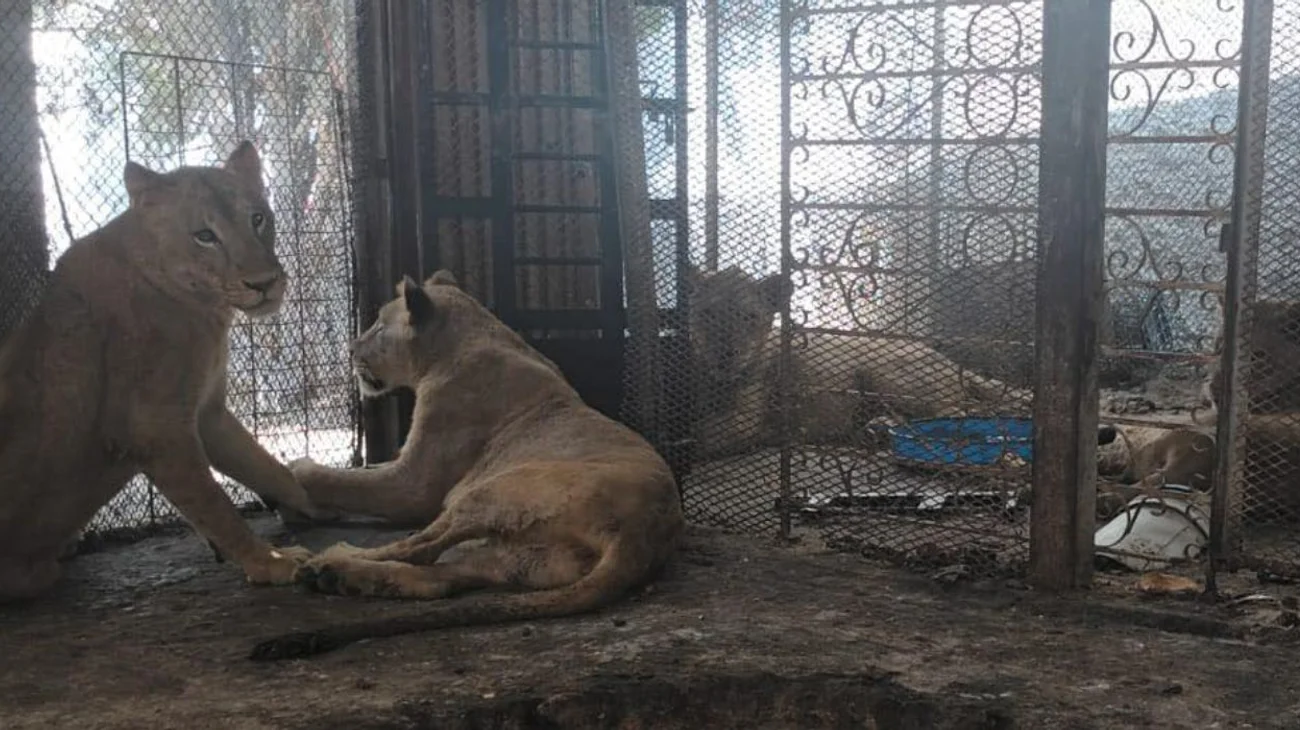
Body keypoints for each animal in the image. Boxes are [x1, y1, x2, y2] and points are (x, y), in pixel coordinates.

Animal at [0, 142, 327, 601]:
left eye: (258, 218)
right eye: (205, 236)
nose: (264, 283)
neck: (208, 308)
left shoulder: (208, 413)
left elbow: (264, 465)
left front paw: (317, 500)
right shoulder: (156, 428)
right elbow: (214, 503)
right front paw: (269, 561)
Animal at [247, 271, 684, 662]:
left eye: (379, 327)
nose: (352, 349)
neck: (470, 336)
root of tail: (640, 537)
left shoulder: (413, 485)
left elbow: (345, 480)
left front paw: (294, 479)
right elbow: (360, 474)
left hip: (487, 494)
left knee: (420, 549)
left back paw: (328, 560)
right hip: (515, 558)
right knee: (439, 580)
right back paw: (340, 577)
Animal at [684, 266, 1032, 459]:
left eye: (749, 317)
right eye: (707, 313)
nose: (725, 354)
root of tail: (941, 356)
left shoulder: (745, 420)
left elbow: (701, 434)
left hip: (882, 373)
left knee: (964, 414)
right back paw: (877, 428)